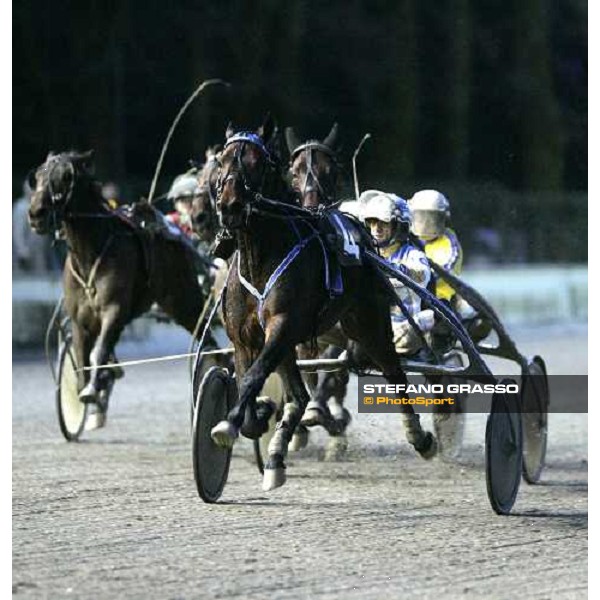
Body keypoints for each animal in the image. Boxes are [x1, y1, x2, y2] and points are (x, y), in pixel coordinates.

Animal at [29, 150, 210, 422]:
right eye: (38, 175)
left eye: (66, 176)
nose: (36, 213)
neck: (91, 254)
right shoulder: (80, 320)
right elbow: (82, 359)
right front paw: (92, 391)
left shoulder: (114, 309)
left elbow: (99, 351)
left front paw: (94, 388)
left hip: (183, 301)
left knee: (207, 334)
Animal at [209, 117, 434, 492]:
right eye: (221, 161)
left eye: (257, 161)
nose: (230, 205)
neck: (260, 257)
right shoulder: (245, 339)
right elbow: (251, 387)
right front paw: (258, 416)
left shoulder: (283, 324)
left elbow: (255, 377)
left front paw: (230, 424)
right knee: (300, 396)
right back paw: (278, 454)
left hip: (368, 324)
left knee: (394, 374)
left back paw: (419, 437)